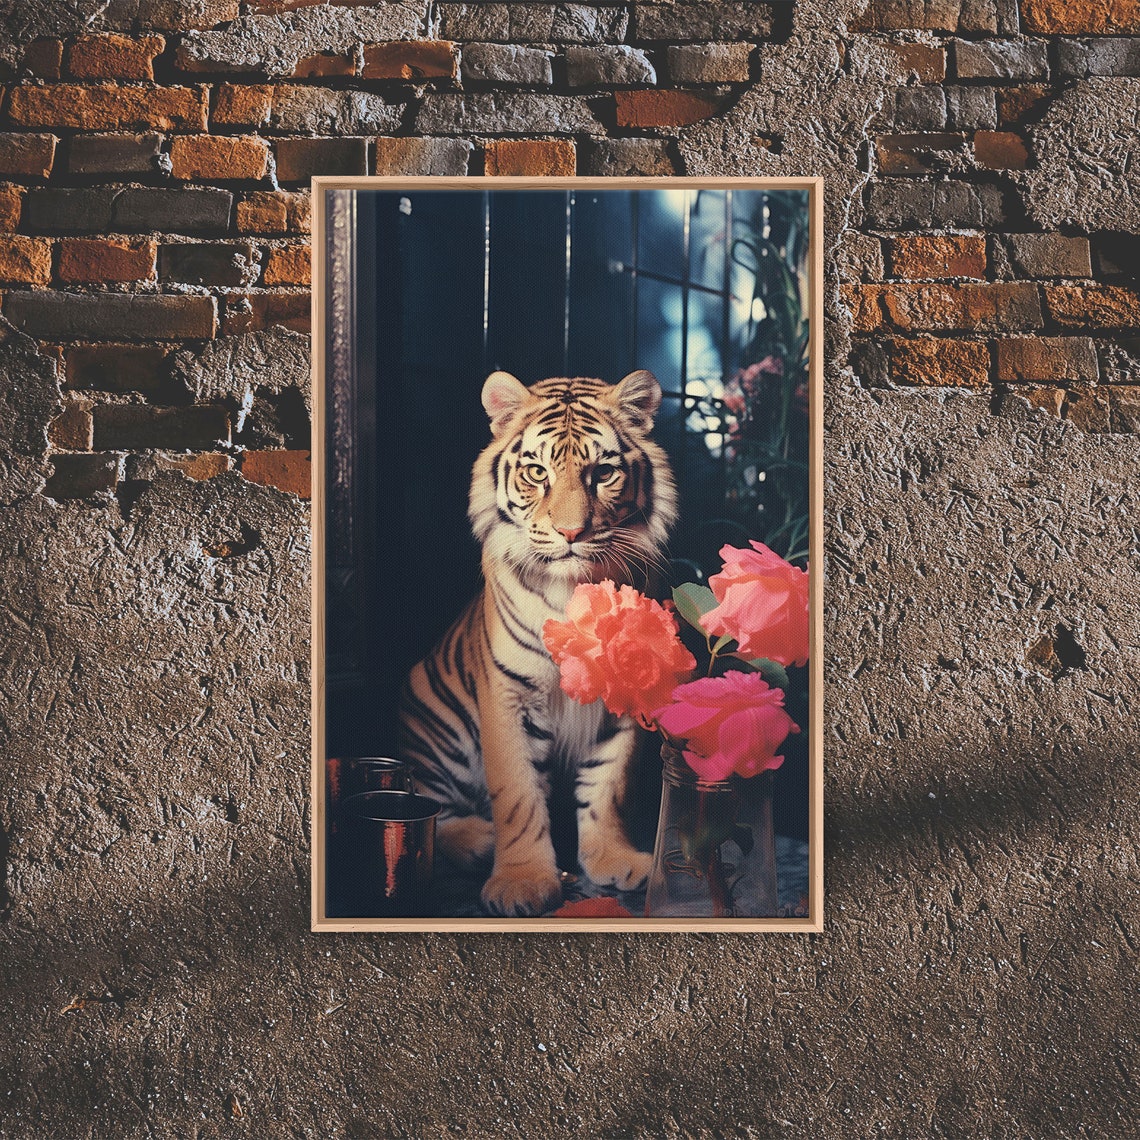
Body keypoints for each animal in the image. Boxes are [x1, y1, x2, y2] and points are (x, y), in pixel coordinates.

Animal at [398, 368, 678, 917]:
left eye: (602, 473)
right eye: (537, 473)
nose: (571, 532)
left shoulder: (624, 695)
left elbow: (610, 784)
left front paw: (613, 859)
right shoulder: (509, 696)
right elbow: (518, 792)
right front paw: (522, 882)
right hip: (435, 729)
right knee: (430, 808)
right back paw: (478, 841)